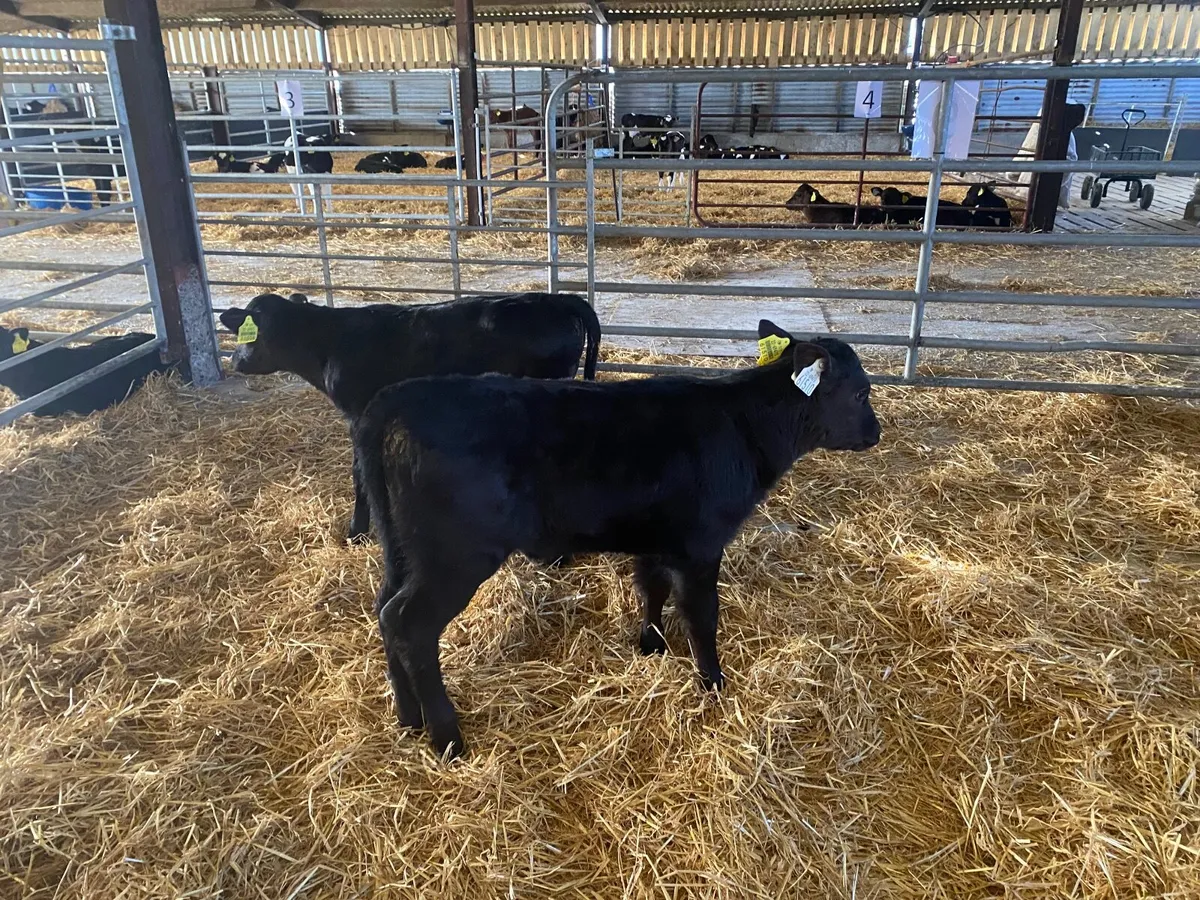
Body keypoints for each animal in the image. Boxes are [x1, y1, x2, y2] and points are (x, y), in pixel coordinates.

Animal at [216, 291, 602, 542]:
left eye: (253, 331)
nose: (236, 361)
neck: (330, 344)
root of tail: (553, 299)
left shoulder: (360, 415)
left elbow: (360, 472)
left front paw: (357, 530)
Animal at [352, 320, 880, 758]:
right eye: (861, 393)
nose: (875, 433)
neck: (743, 425)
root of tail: (394, 400)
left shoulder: (658, 538)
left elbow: (652, 587)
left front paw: (651, 644)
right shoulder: (702, 545)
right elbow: (702, 616)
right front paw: (712, 681)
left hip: (402, 550)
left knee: (384, 610)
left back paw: (408, 717)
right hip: (456, 556)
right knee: (409, 623)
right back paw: (446, 737)